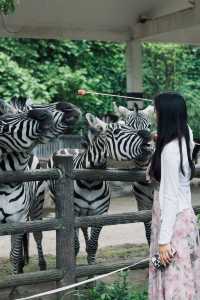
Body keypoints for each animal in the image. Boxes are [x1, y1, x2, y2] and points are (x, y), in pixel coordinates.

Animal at [0, 98, 81, 274]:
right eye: (30, 110)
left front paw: (15, 278)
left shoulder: (18, 219)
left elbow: (13, 254)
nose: (68, 106)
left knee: (36, 234)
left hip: (36, 204)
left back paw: (40, 265)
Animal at [47, 113, 153, 264]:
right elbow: (74, 245)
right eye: (116, 131)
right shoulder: (73, 213)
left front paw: (92, 268)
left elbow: (93, 245)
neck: (90, 183)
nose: (148, 138)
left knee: (84, 228)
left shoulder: (99, 213)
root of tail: (67, 148)